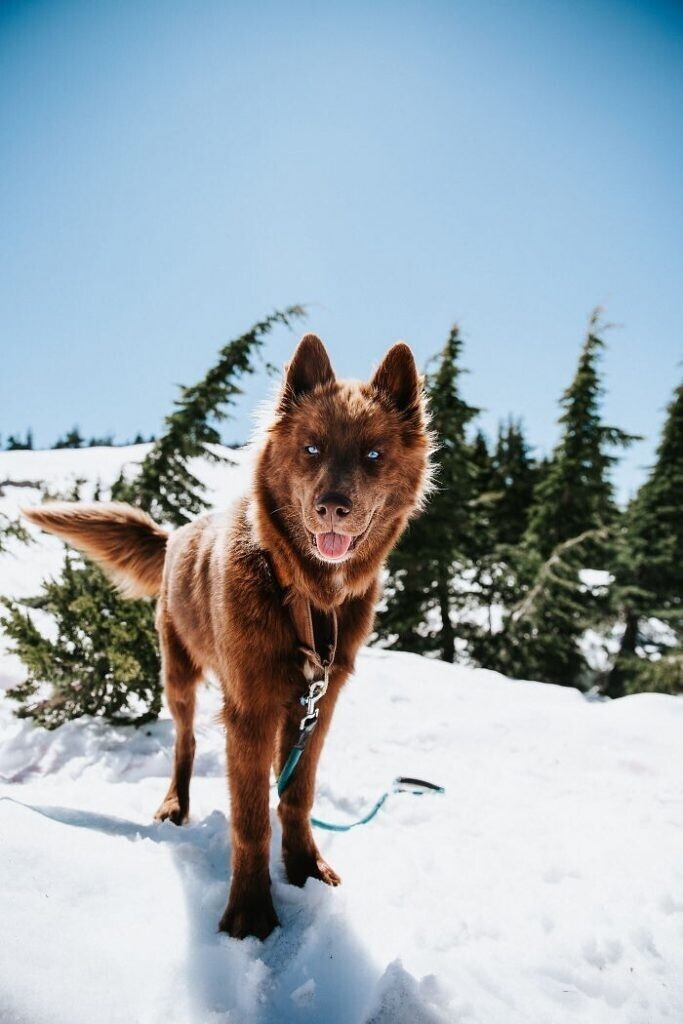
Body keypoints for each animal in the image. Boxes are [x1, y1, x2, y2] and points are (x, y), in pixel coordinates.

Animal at [26, 333, 432, 937]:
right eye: (311, 448)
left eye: (373, 455)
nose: (332, 507)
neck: (301, 593)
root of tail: (175, 534)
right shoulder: (251, 706)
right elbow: (250, 820)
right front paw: (250, 913)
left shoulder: (319, 702)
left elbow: (295, 796)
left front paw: (305, 869)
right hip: (178, 674)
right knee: (186, 741)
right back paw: (175, 805)